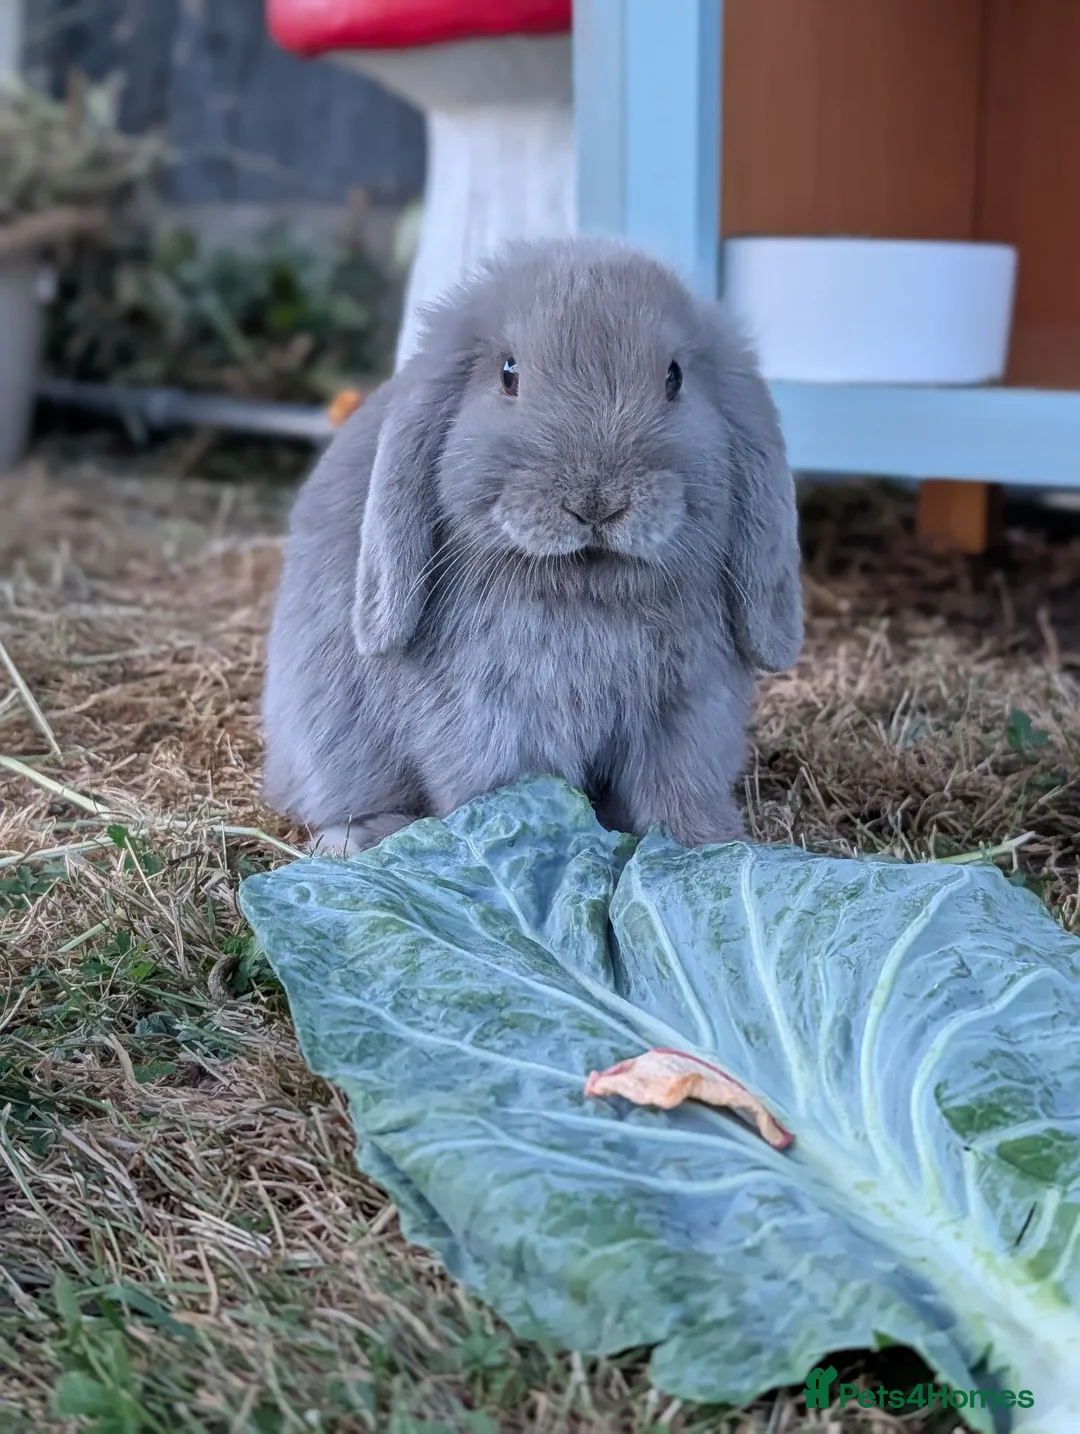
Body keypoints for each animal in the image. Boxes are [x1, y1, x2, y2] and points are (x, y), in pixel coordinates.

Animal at [261, 236, 803, 854]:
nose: (598, 502)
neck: (589, 593)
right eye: (509, 374)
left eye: (675, 378)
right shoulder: (493, 718)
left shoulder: (687, 711)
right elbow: (513, 790)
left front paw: (707, 848)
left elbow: (677, 789)